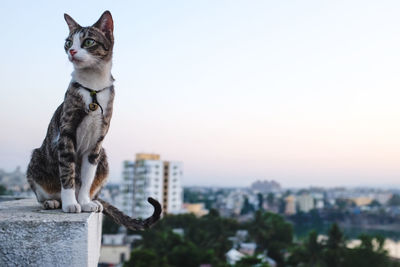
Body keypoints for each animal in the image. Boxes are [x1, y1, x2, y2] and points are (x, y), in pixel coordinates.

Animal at [26, 11, 161, 231]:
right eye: (68, 42)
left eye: (88, 41)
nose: (72, 50)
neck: (93, 88)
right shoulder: (66, 135)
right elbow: (68, 172)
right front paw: (71, 204)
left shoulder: (97, 143)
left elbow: (87, 177)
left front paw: (84, 202)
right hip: (37, 157)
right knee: (45, 192)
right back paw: (54, 201)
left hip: (104, 158)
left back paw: (92, 200)